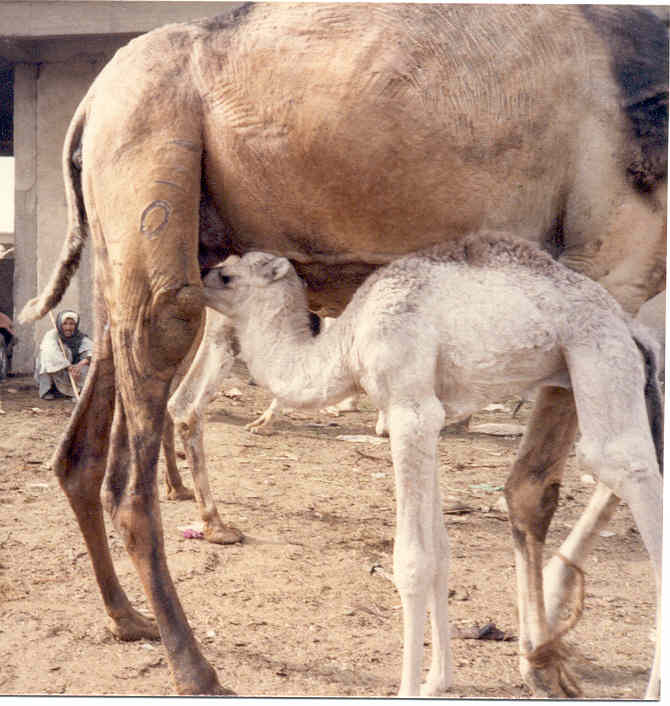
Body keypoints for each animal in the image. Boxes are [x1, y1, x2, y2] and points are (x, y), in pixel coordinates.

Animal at [202, 234, 664, 696]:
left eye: (227, 275)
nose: (199, 276)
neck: (349, 341)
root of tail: (630, 326)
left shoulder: (410, 409)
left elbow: (413, 561)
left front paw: (409, 688)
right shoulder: (431, 417)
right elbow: (440, 552)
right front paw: (437, 680)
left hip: (598, 355)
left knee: (622, 462)